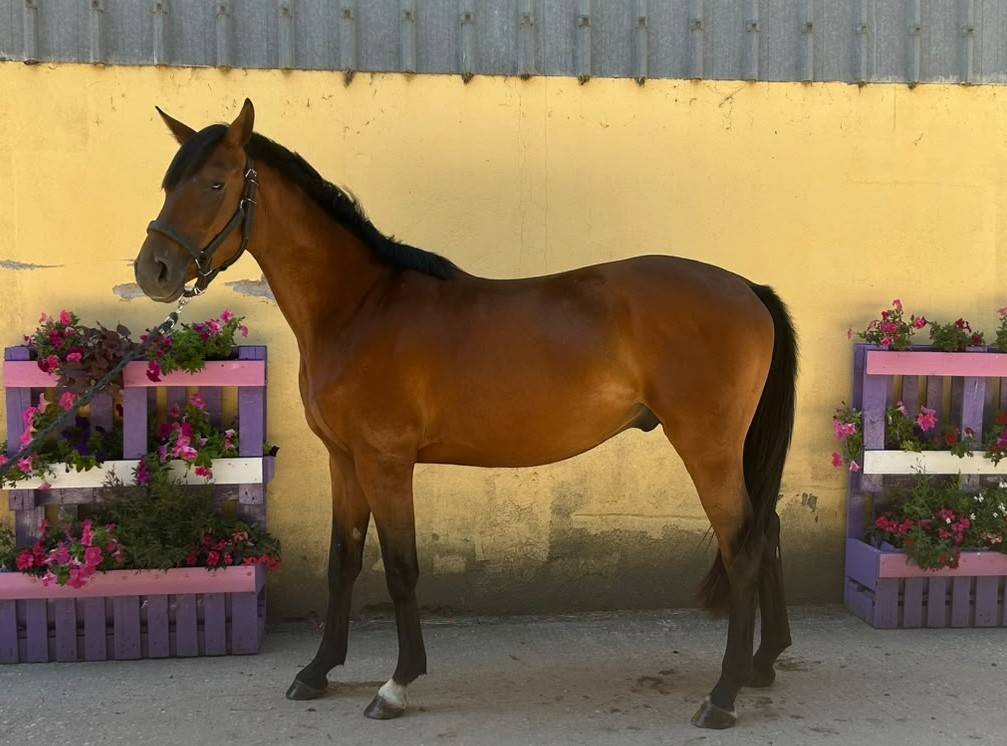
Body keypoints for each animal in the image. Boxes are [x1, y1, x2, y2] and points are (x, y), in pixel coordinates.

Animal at [133, 99, 798, 730]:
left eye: (215, 183)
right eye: (168, 183)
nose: (153, 271)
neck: (358, 308)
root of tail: (747, 288)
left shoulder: (386, 463)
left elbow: (400, 568)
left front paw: (396, 686)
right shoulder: (344, 460)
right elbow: (342, 563)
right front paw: (317, 672)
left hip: (706, 446)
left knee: (742, 545)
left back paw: (722, 696)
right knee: (768, 531)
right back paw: (763, 664)